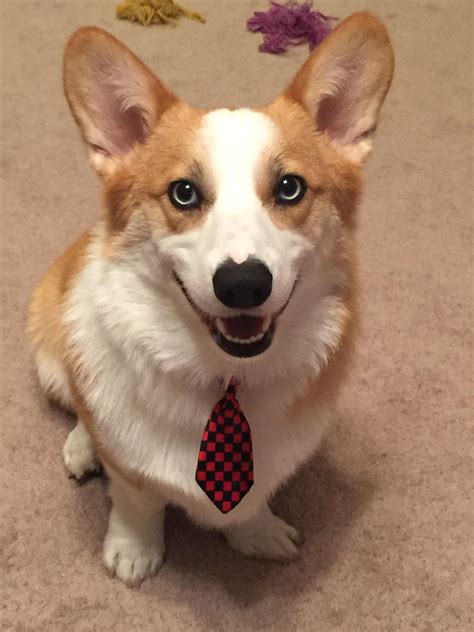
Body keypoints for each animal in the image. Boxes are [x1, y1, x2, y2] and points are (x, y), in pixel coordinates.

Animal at [27, 14, 394, 588]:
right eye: (183, 193)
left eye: (290, 188)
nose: (243, 283)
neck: (226, 380)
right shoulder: (129, 469)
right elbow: (135, 497)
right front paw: (133, 551)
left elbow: (252, 502)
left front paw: (257, 534)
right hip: (51, 348)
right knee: (79, 409)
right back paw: (82, 446)